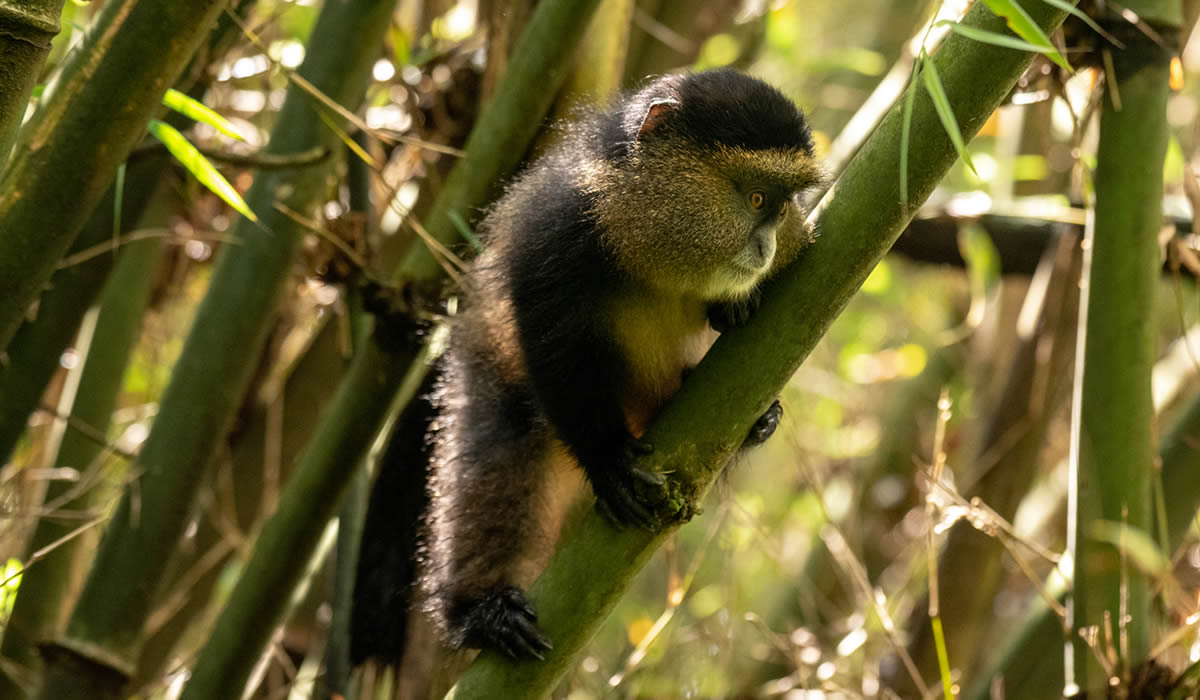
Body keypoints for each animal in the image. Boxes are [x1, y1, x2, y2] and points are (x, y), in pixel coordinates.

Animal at [351, 68, 823, 667]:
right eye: (757, 197)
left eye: (784, 207)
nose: (765, 246)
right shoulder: (556, 235)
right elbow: (555, 350)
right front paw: (608, 463)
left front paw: (736, 324)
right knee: (498, 455)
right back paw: (482, 612)